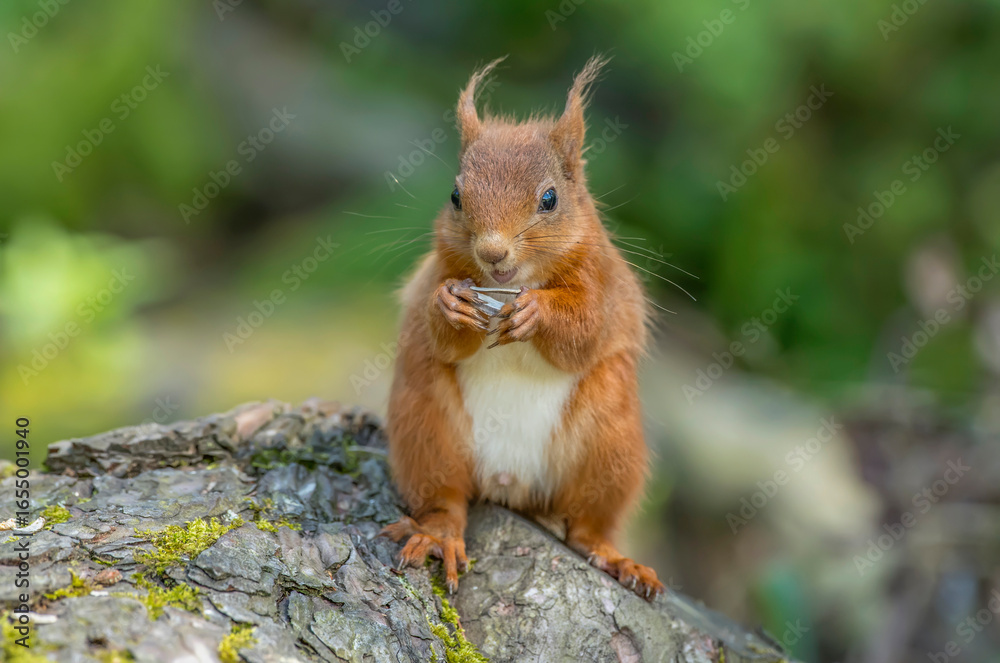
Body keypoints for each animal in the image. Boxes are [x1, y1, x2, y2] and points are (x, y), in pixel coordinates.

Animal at [382, 56, 664, 600]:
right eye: (455, 196)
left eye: (550, 199)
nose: (492, 252)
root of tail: (508, 484)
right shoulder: (438, 271)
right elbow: (441, 334)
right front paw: (449, 305)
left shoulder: (602, 285)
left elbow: (584, 331)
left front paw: (539, 313)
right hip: (426, 425)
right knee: (446, 500)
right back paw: (439, 535)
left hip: (610, 445)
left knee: (587, 527)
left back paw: (618, 559)